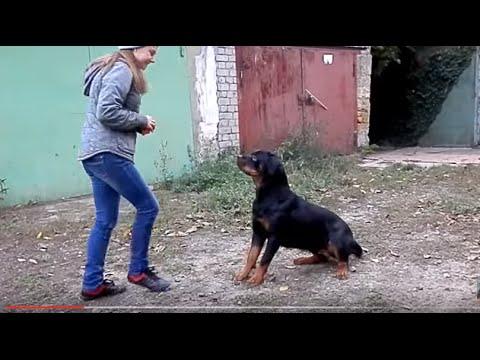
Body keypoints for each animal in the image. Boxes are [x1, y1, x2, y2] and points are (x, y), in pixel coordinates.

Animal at [234, 150, 362, 286]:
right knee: (322, 257)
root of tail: (351, 237)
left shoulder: (274, 237)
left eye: (254, 158)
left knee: (343, 259)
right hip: (311, 243)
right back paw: (303, 259)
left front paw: (256, 278)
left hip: (336, 240)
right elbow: (251, 256)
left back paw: (342, 271)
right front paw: (243, 274)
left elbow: (264, 259)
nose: (238, 156)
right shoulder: (258, 233)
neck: (269, 196)